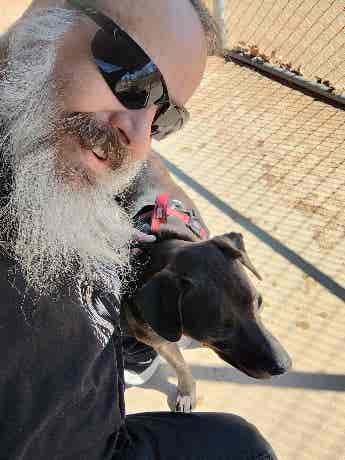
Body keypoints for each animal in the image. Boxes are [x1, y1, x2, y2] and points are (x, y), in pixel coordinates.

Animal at [121, 234, 290, 414]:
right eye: (219, 332)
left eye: (259, 302)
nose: (285, 366)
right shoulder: (160, 341)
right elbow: (181, 365)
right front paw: (187, 393)